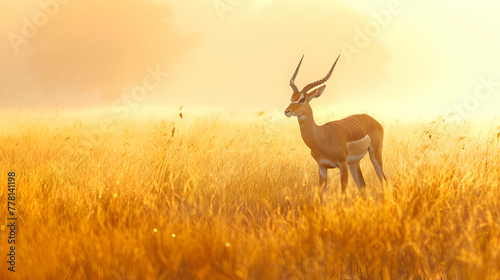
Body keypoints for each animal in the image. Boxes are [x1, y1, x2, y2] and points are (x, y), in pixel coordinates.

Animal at [286, 54, 386, 199]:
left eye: (302, 99)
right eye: (291, 98)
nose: (287, 111)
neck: (322, 136)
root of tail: (372, 119)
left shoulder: (342, 165)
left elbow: (343, 194)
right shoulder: (322, 167)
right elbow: (321, 195)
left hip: (374, 154)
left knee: (384, 181)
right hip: (354, 163)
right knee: (362, 186)